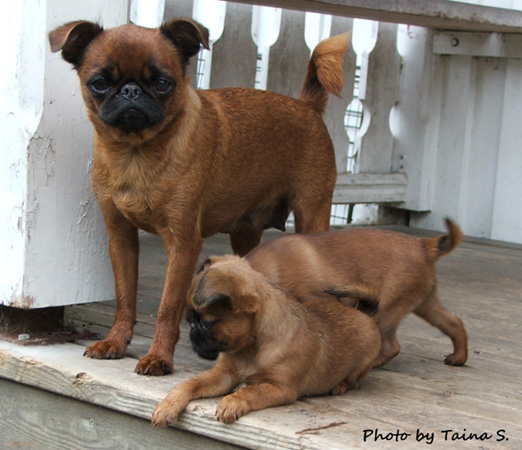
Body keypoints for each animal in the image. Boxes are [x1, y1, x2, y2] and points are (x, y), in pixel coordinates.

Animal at [47, 19, 346, 374]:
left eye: (163, 84)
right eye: (100, 83)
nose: (131, 91)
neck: (136, 154)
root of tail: (307, 105)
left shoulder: (183, 244)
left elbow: (167, 306)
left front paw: (159, 357)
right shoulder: (121, 239)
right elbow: (125, 297)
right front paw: (116, 342)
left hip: (311, 214)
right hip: (245, 233)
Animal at [150, 255, 378, 428]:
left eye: (205, 324)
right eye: (190, 320)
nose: (192, 331)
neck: (251, 348)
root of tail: (361, 312)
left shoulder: (281, 388)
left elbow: (252, 391)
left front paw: (232, 401)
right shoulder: (224, 375)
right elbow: (190, 383)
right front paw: (168, 405)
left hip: (363, 363)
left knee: (354, 381)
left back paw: (340, 385)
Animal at [246, 218, 466, 370]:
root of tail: (423, 246)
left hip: (388, 308)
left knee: (391, 346)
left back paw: (373, 364)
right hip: (425, 302)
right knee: (453, 322)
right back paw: (459, 357)